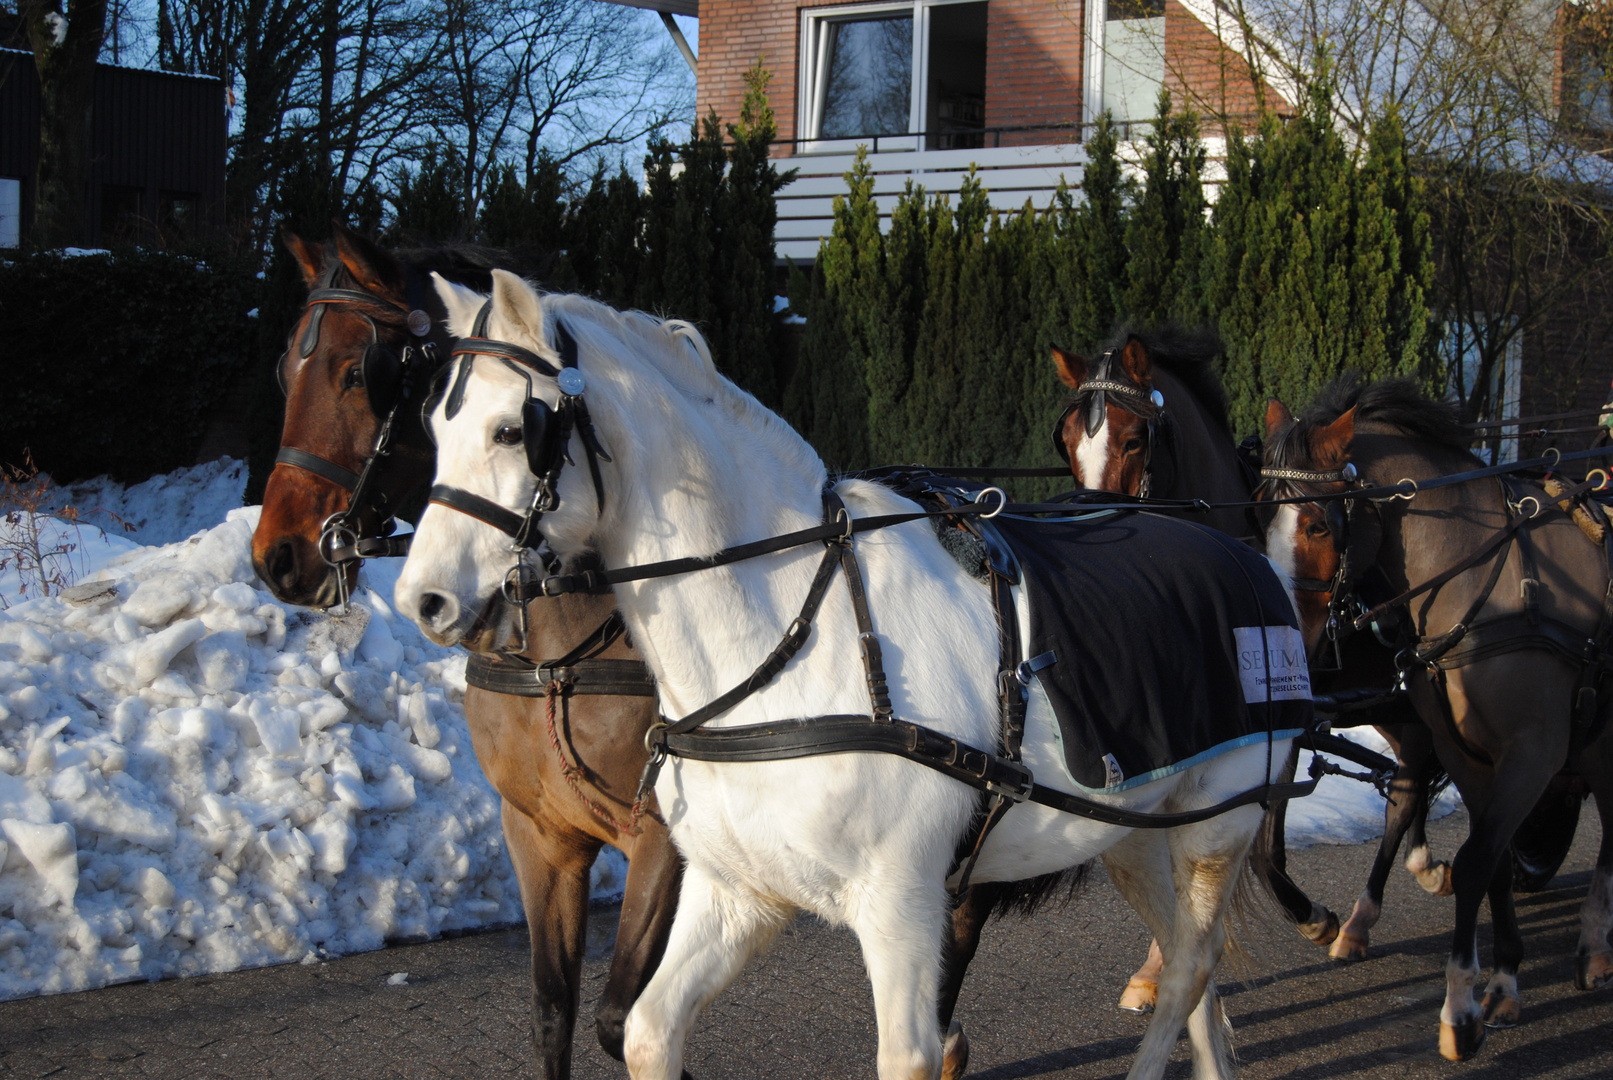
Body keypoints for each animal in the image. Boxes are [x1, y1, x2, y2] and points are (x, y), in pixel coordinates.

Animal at [396, 270, 1303, 1080]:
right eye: (433, 429)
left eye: (512, 431)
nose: (422, 599)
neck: (791, 635)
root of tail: (1241, 554)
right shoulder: (735, 891)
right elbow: (647, 1032)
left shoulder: (901, 903)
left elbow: (910, 1054)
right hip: (1131, 828)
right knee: (1189, 961)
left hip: (1216, 820)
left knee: (1192, 961)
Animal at [1258, 377, 1613, 1063]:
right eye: (1264, 514)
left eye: (1316, 523)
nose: (1283, 641)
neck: (1488, 582)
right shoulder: (1468, 753)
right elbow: (1490, 860)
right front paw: (1503, 977)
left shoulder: (1532, 753)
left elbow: (1476, 861)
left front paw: (1462, 1009)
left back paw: (1593, 943)